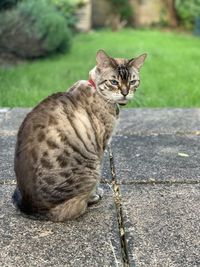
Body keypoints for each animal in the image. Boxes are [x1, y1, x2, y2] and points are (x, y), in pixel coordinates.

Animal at [12, 49, 147, 222]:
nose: (125, 93)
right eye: (114, 82)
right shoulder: (100, 147)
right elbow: (96, 184)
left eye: (132, 82)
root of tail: (32, 208)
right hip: (91, 167)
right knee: (78, 205)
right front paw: (96, 194)